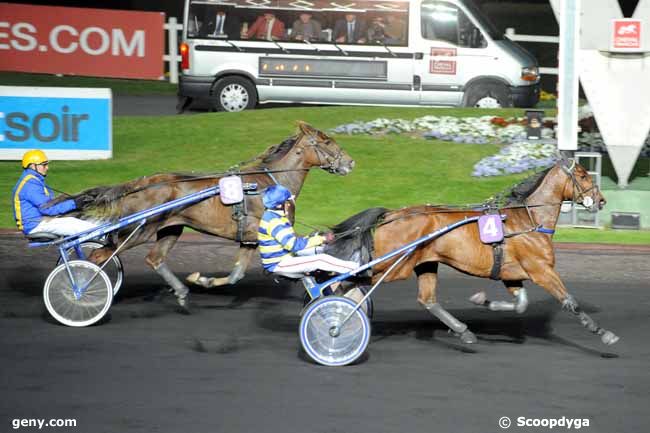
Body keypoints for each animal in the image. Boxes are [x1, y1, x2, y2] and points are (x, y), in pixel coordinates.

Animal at [51, 121, 354, 310]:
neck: (268, 183)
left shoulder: (247, 239)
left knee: (154, 258)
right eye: (327, 141)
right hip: (139, 230)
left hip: (170, 229)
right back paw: (81, 290)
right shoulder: (262, 233)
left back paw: (182, 292)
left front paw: (201, 280)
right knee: (98, 255)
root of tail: (140, 183)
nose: (350, 162)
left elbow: (236, 275)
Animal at [330, 157, 616, 346]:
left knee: (427, 299)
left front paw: (483, 301)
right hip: (393, 267)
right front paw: (604, 333)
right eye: (583, 176)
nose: (601, 200)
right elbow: (570, 302)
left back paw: (463, 331)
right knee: (349, 281)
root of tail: (392, 214)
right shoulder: (542, 270)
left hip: (424, 263)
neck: (528, 220)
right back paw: (336, 319)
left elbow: (520, 305)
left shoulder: (511, 275)